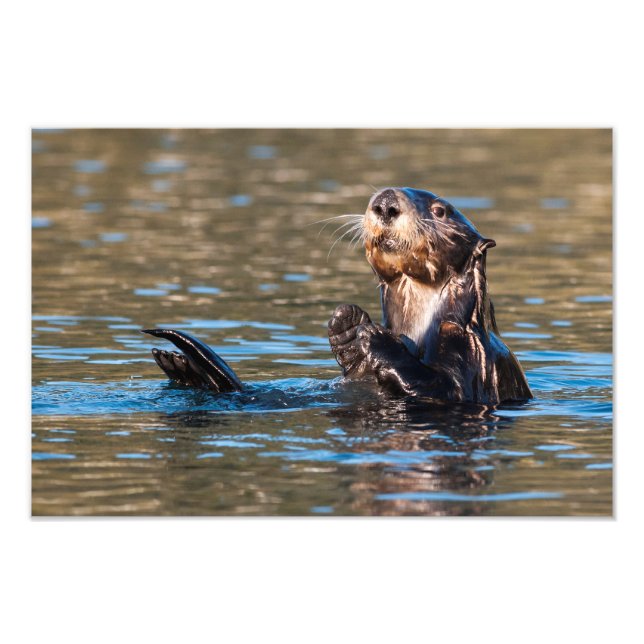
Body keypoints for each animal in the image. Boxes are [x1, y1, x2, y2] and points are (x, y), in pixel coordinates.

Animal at [143, 187, 532, 406]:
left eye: (440, 210)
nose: (386, 203)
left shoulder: (470, 355)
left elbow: (443, 388)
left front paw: (375, 337)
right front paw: (347, 324)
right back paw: (180, 366)